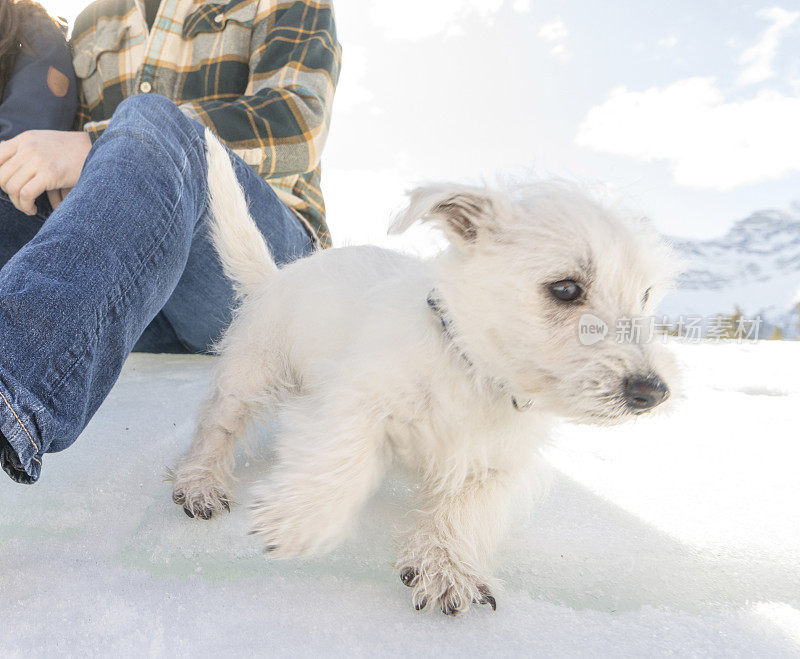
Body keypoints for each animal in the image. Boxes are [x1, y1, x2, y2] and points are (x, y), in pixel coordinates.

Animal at [170, 131, 680, 616]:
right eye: (566, 288)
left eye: (645, 294)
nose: (654, 392)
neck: (472, 371)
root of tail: (277, 276)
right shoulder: (352, 400)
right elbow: (344, 457)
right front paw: (301, 520)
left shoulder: (499, 465)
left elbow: (467, 511)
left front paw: (447, 568)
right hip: (252, 374)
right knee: (218, 424)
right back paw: (200, 483)